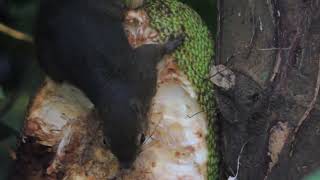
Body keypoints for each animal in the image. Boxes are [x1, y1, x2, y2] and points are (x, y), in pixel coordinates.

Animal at [33, 0, 184, 168]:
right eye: (105, 142)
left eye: (142, 138)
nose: (126, 166)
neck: (117, 89)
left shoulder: (142, 69)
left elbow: (153, 49)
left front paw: (173, 43)